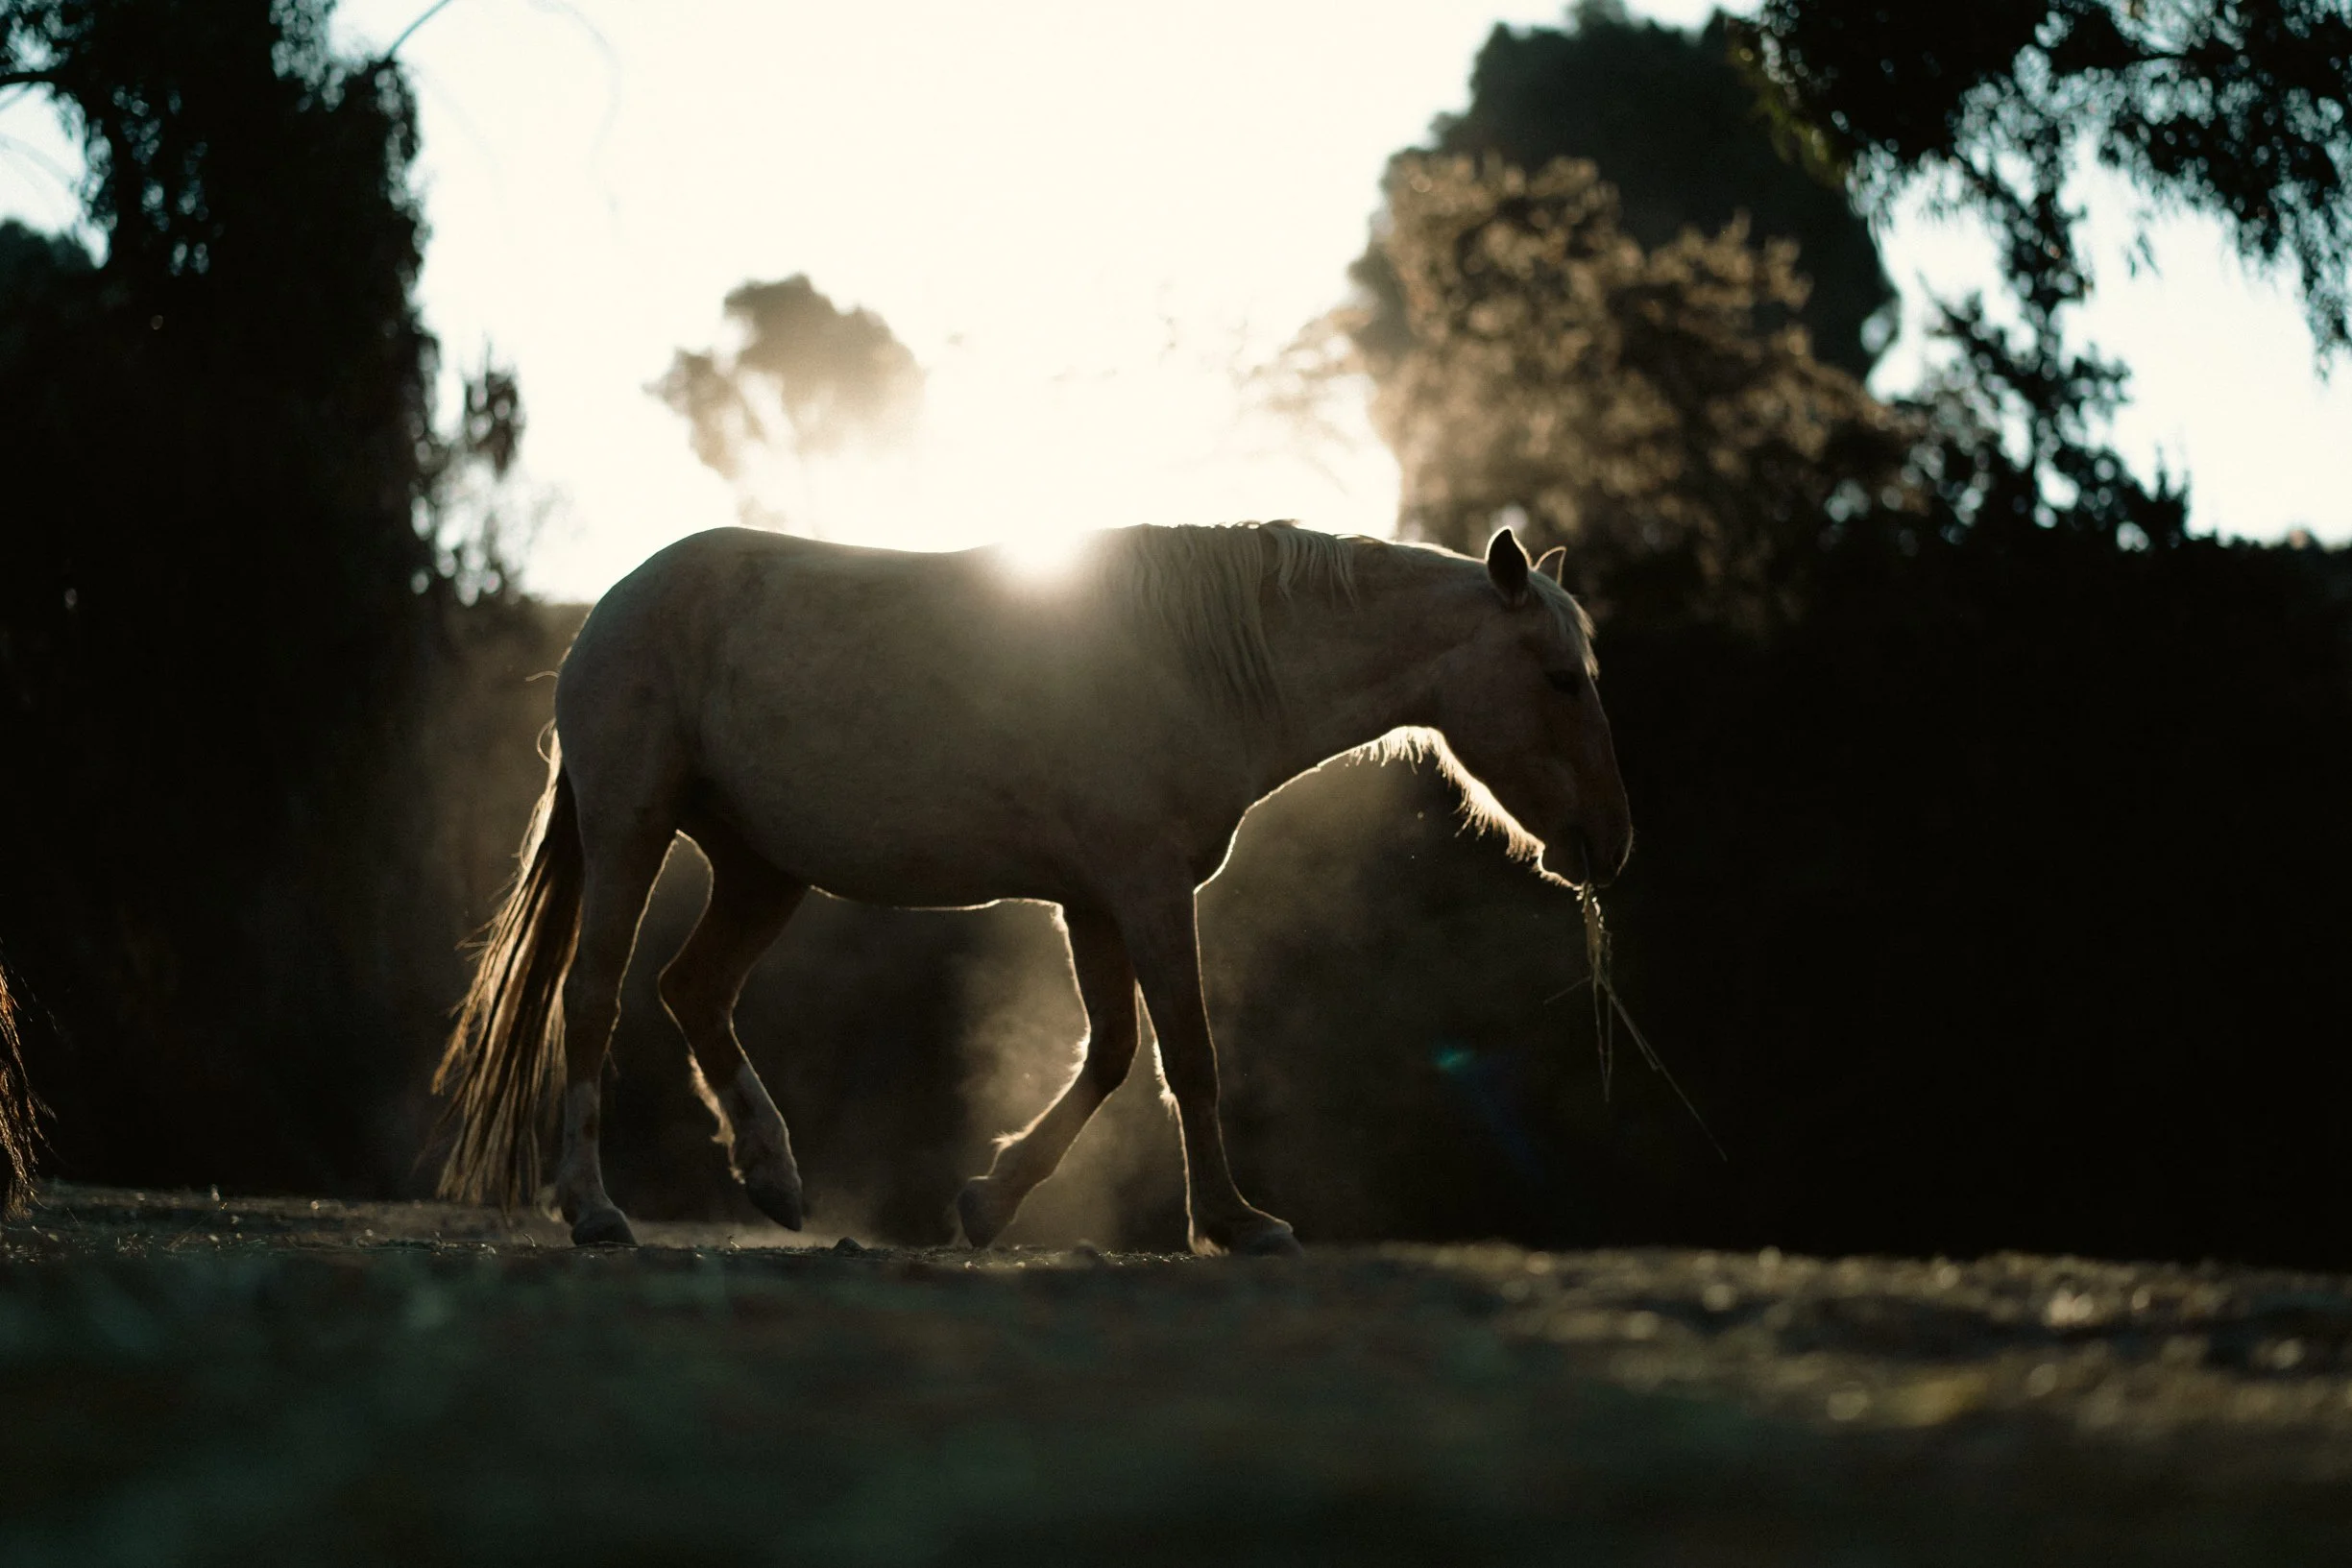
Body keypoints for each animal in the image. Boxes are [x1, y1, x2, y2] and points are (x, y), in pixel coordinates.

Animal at [431, 520, 1632, 1255]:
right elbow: (1187, 1057)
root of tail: (613, 604)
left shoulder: (1095, 901)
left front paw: (988, 1198)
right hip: (631, 830)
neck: (1202, 664)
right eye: (1559, 678)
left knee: (693, 991)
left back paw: (771, 1175)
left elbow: (1112, 1054)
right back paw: (594, 1207)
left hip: (761, 868)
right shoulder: (1144, 890)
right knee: (593, 999)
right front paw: (1235, 1221)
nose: (1611, 843)